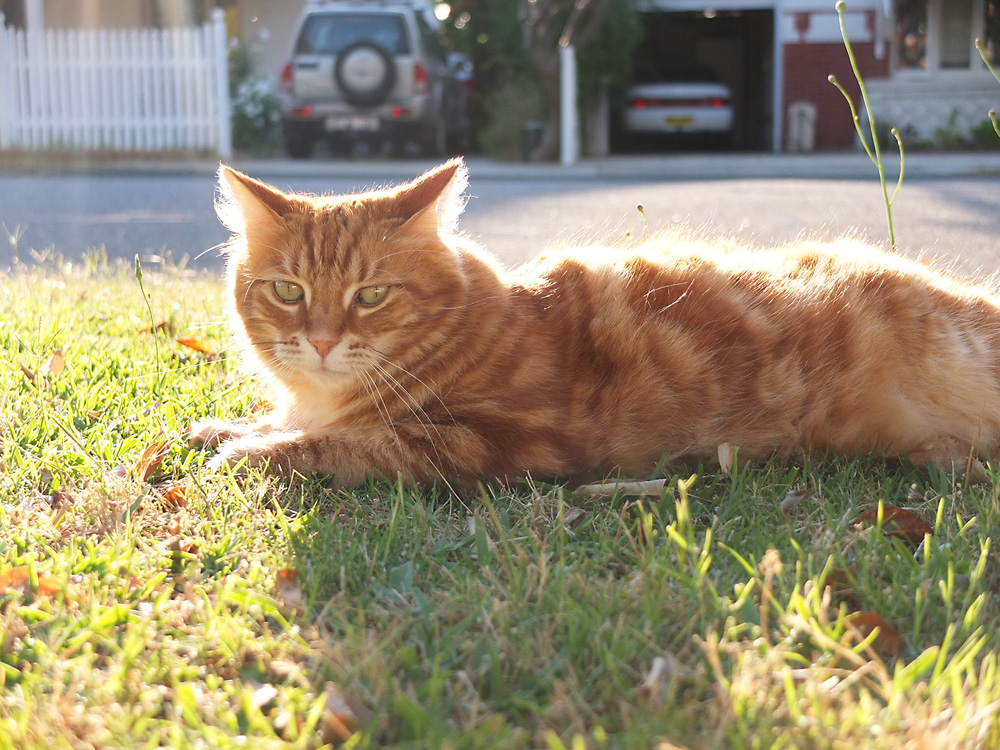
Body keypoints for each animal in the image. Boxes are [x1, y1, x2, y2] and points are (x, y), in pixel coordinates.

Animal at [190, 157, 1000, 487]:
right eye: (289, 291)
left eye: (371, 296)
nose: (324, 341)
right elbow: (279, 420)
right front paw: (226, 427)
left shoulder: (495, 442)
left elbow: (338, 444)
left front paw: (251, 449)